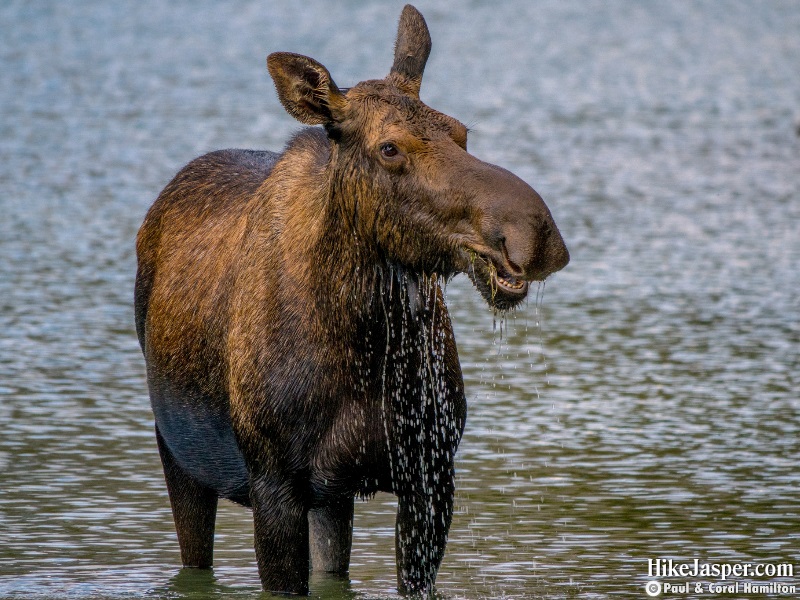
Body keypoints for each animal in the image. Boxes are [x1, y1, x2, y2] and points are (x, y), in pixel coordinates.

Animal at [133, 3, 568, 596]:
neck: (363, 338)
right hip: (179, 454)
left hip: (330, 498)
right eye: (389, 147)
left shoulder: (429, 475)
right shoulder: (273, 483)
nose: (533, 234)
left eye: (461, 132)